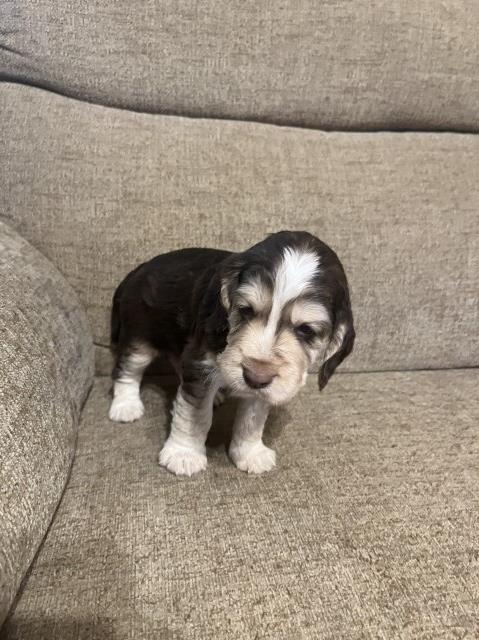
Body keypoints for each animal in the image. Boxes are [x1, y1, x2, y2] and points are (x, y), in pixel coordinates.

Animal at [109, 230, 356, 476]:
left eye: (306, 330)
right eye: (245, 310)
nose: (255, 377)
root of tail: (139, 269)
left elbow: (251, 419)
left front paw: (250, 454)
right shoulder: (200, 362)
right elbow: (194, 414)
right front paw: (184, 454)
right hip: (138, 338)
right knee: (128, 370)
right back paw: (126, 406)